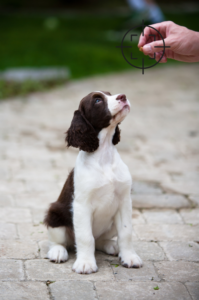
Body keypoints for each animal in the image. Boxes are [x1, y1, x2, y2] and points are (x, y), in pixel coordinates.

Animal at [44, 90, 142, 274]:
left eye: (110, 94)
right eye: (97, 100)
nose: (123, 96)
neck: (104, 156)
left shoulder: (124, 201)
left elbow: (126, 232)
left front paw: (129, 257)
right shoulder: (82, 205)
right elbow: (85, 237)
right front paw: (85, 263)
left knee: (99, 240)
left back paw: (112, 246)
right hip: (55, 214)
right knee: (60, 241)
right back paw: (58, 252)